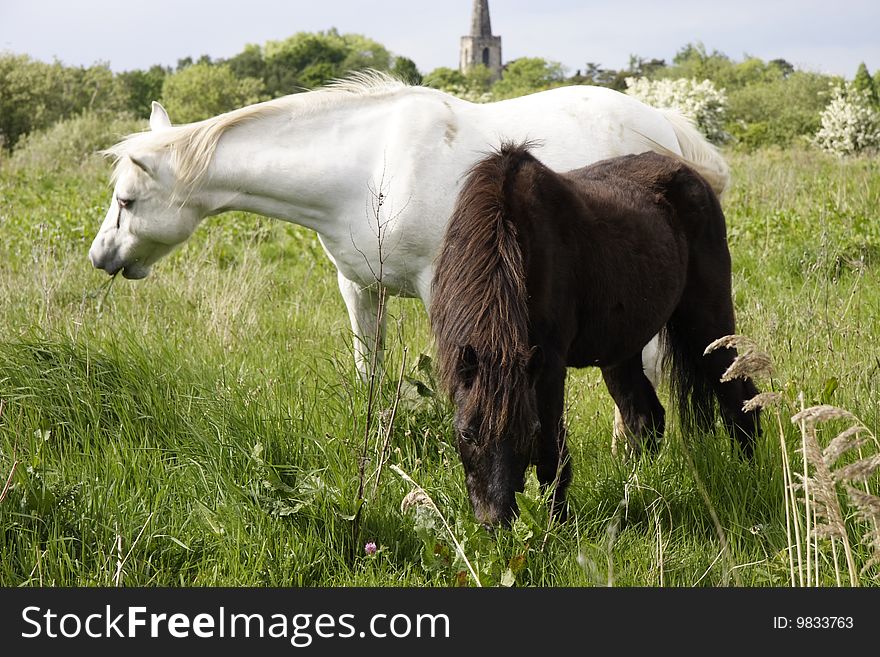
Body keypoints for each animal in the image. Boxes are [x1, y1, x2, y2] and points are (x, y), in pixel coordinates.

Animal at [89, 70, 728, 440]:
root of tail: (663, 127)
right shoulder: (358, 286)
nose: (101, 257)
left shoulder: (439, 288)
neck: (368, 166)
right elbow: (368, 371)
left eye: (126, 200)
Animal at [430, 145, 760, 528]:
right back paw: (636, 489)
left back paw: (749, 476)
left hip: (707, 324)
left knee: (739, 401)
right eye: (467, 432)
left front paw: (556, 526)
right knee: (645, 418)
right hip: (623, 351)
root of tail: (694, 178)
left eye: (527, 430)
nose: (495, 522)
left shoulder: (548, 367)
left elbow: (551, 454)